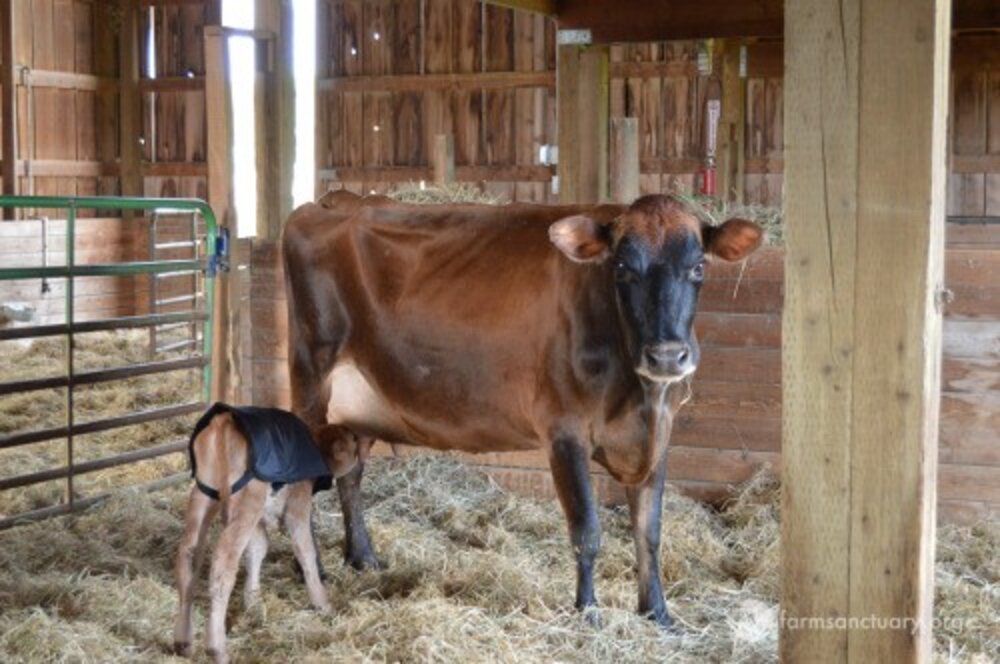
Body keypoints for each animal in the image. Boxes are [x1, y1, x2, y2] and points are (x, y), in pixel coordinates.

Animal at [282, 191, 763, 627]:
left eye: (698, 267)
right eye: (623, 268)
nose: (666, 356)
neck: (637, 395)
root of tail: (329, 201)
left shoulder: (659, 433)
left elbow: (650, 530)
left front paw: (657, 613)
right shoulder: (564, 430)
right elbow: (586, 530)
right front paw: (587, 613)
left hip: (356, 405)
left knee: (351, 475)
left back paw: (362, 557)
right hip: (311, 379)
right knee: (302, 487)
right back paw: (316, 569)